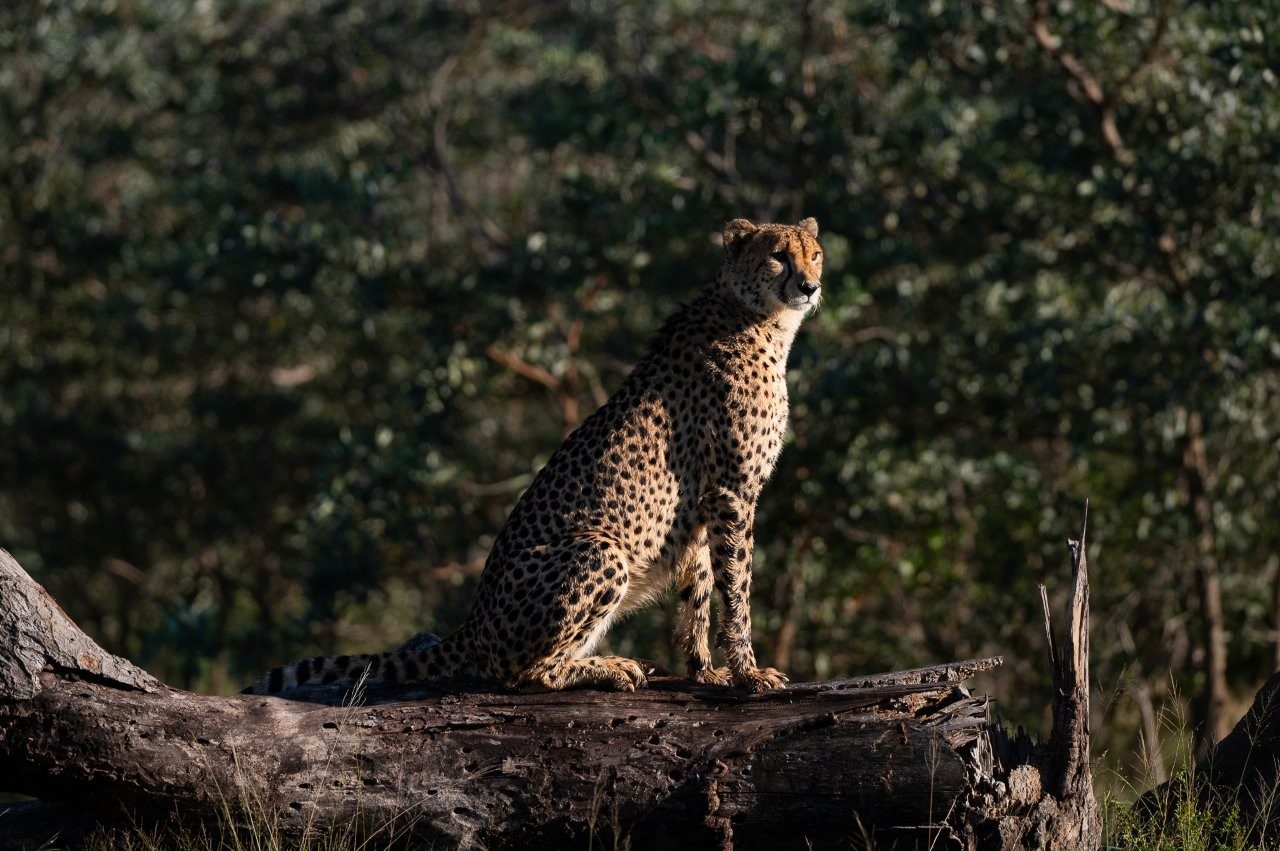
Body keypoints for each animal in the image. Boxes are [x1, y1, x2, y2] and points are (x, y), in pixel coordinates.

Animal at [243, 216, 824, 695]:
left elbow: (698, 593)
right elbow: (735, 588)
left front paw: (706, 671)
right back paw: (608, 667)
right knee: (520, 673)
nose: (810, 286)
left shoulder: (706, 504)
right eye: (778, 256)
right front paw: (748, 672)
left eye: (814, 253)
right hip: (600, 550)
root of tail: (473, 623)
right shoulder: (730, 492)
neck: (758, 318)